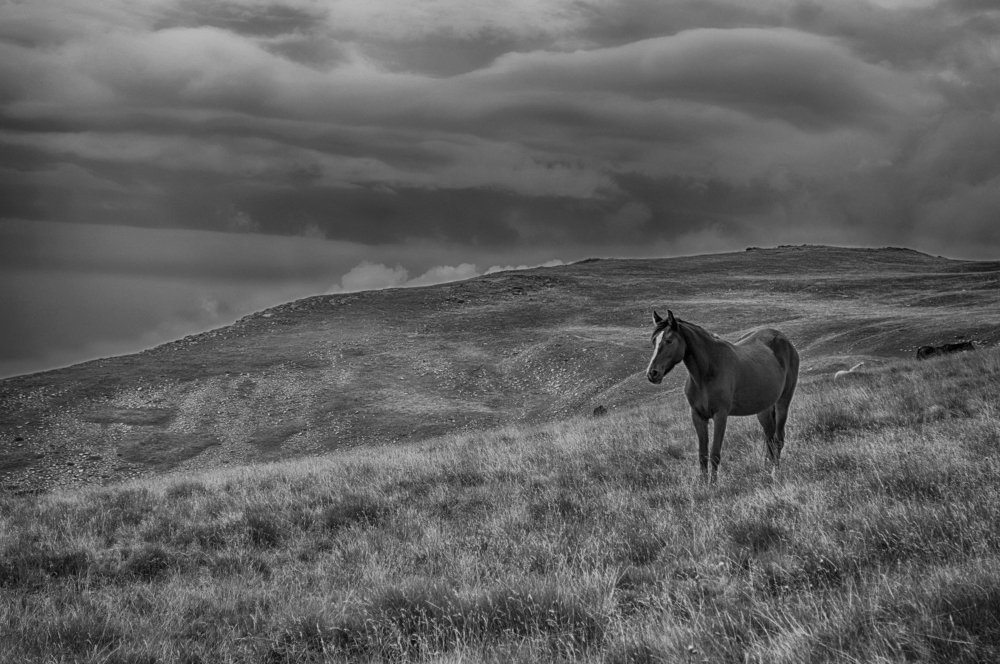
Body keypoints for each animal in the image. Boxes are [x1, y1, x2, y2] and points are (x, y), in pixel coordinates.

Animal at [645, 310, 799, 482]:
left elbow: (714, 454)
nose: (652, 373)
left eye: (669, 340)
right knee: (770, 438)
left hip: (783, 403)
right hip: (764, 409)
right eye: (654, 341)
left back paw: (775, 472)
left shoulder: (720, 415)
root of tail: (784, 340)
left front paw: (713, 485)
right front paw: (703, 484)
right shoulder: (698, 416)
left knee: (778, 439)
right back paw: (767, 470)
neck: (706, 373)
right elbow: (702, 455)